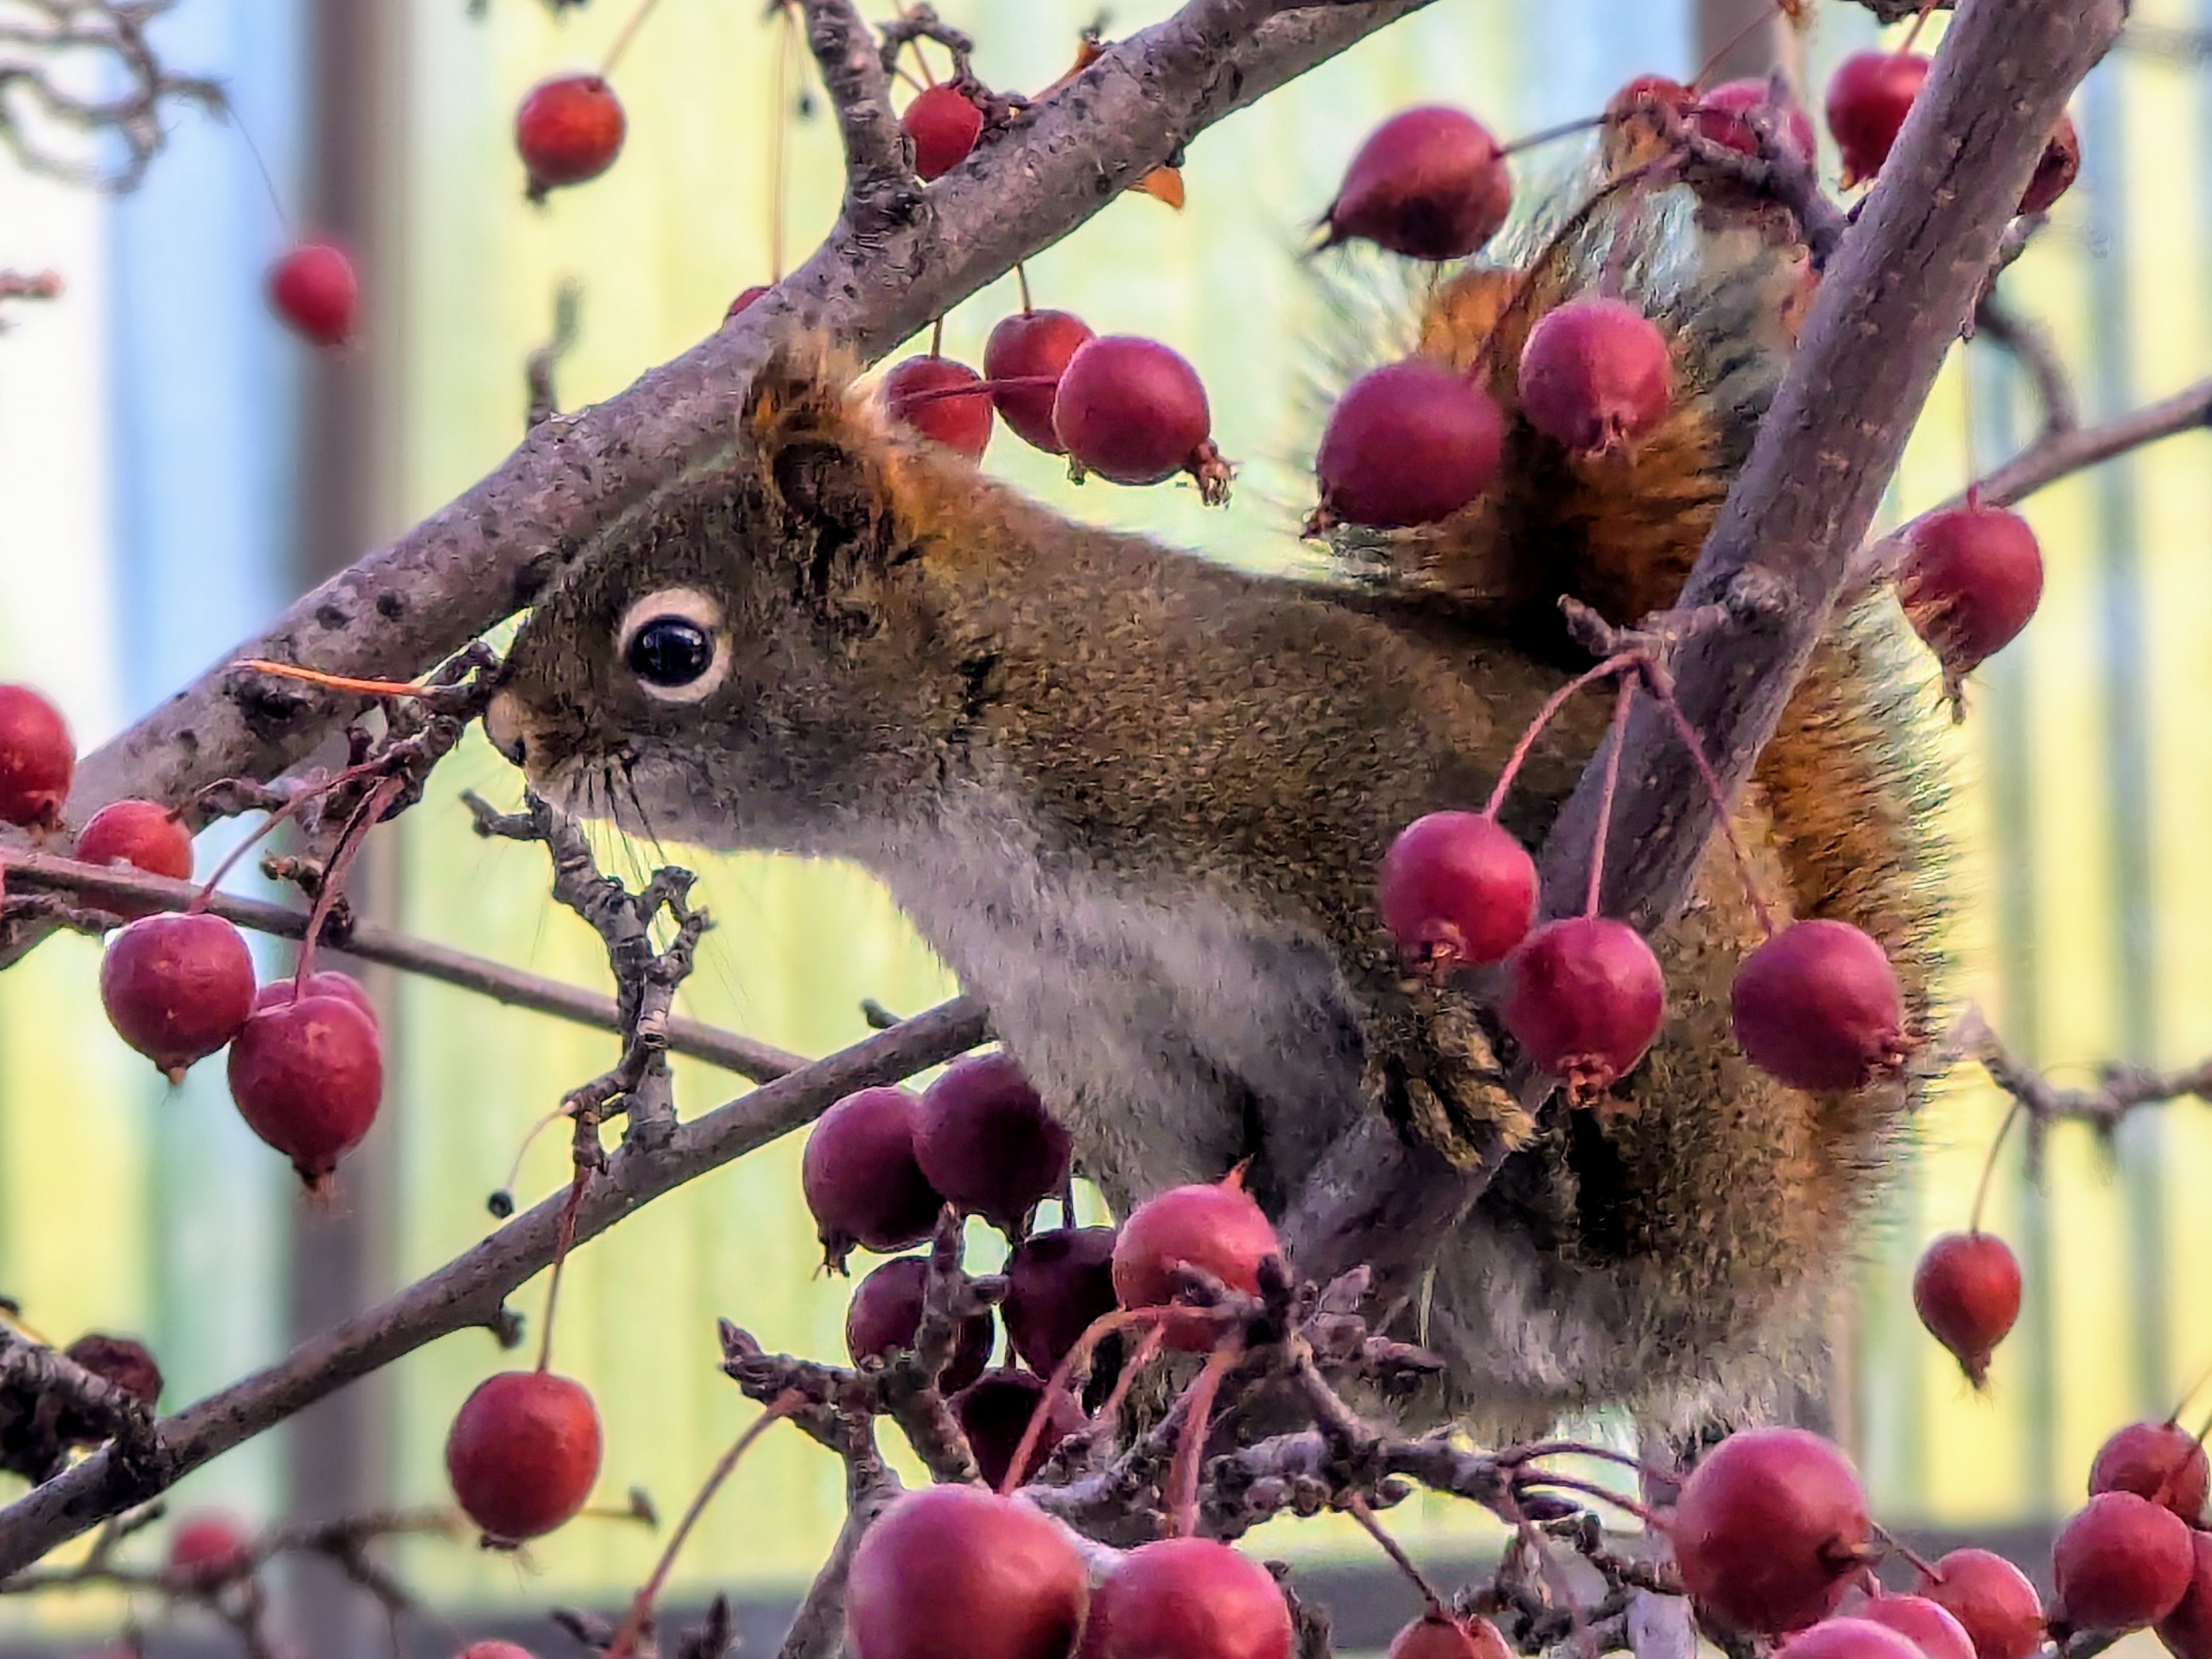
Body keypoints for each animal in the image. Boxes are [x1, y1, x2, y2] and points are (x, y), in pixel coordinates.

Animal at [482, 148, 1952, 1444]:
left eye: (671, 649)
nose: (502, 729)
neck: (959, 801)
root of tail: (1788, 1256)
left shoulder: (1303, 746)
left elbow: (1379, 890)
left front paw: (1416, 1039)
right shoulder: (1103, 1041)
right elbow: (1185, 1187)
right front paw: (1146, 1378)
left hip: (1690, 1031)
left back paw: (1572, 1174)